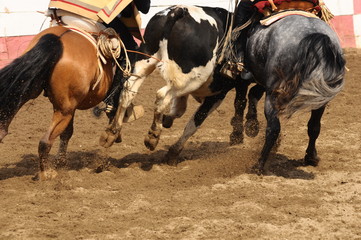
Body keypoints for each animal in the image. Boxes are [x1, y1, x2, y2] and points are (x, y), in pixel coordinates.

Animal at [0, 26, 113, 180]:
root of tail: (58, 39)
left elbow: (67, 133)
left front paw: (61, 162)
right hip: (64, 111)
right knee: (45, 141)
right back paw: (46, 173)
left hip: (32, 88)